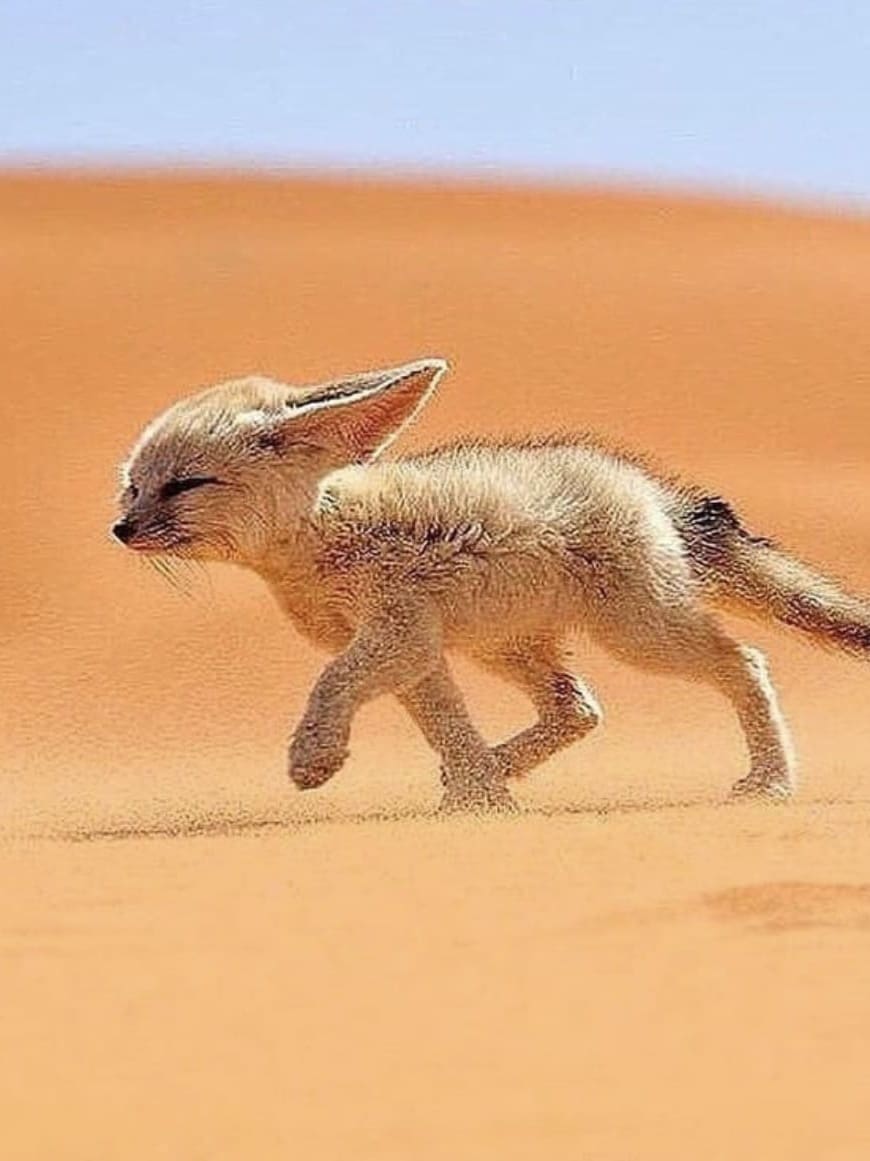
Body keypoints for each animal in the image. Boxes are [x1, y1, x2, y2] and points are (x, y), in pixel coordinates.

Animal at [113, 357, 870, 813]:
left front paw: (315, 758)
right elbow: (445, 727)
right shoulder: (417, 651)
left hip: (639, 635)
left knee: (745, 662)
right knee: (579, 708)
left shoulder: (398, 635)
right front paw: (478, 797)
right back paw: (499, 769)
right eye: (134, 485)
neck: (323, 535)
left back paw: (770, 781)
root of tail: (647, 487)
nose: (120, 529)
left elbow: (331, 683)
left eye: (185, 485)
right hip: (503, 646)